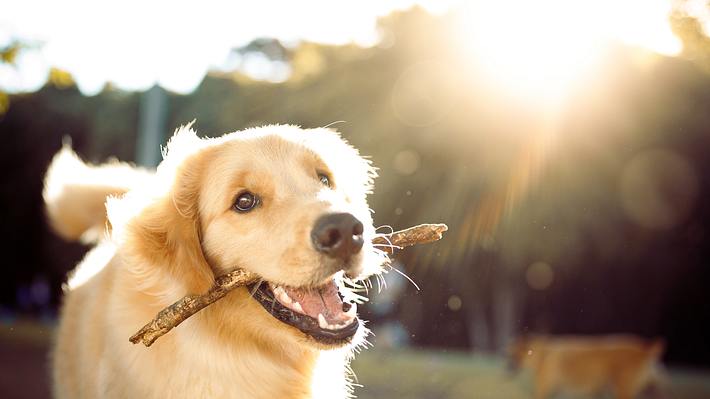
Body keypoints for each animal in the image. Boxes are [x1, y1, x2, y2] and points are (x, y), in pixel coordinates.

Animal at [512, 334, 668, 399]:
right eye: (511, 354)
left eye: (518, 355)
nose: (510, 367)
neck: (543, 354)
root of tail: (644, 352)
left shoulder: (542, 391)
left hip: (623, 391)